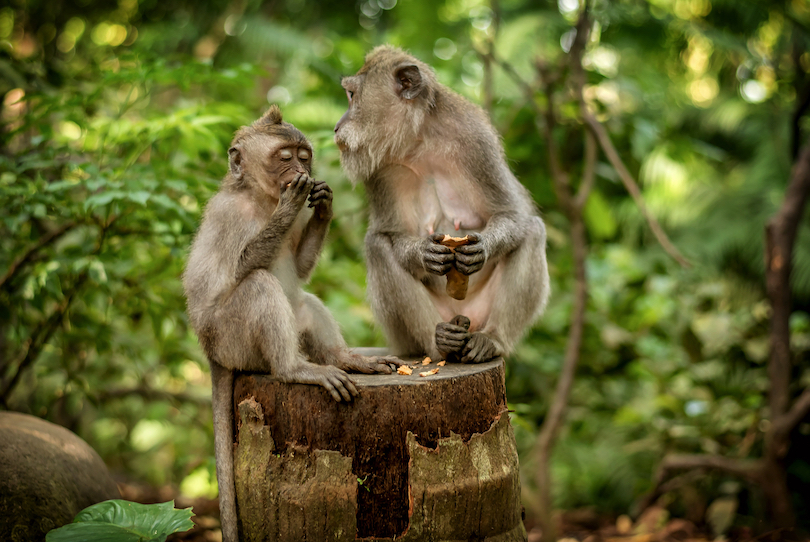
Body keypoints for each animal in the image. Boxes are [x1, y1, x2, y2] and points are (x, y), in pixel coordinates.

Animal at [181, 106, 400, 542]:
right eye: (285, 157)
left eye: (304, 155)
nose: (300, 171)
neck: (259, 198)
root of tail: (211, 353)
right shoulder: (229, 215)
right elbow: (237, 271)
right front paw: (291, 202)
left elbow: (299, 269)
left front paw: (324, 204)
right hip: (232, 340)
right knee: (258, 285)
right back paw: (294, 369)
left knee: (305, 302)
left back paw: (344, 359)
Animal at [330, 46, 548, 368]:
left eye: (352, 95)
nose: (337, 126)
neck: (418, 139)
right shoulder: (381, 168)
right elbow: (390, 233)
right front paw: (424, 253)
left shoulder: (475, 140)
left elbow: (511, 213)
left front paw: (481, 249)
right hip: (409, 336)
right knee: (377, 245)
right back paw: (440, 343)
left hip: (480, 311)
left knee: (532, 230)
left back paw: (491, 339)